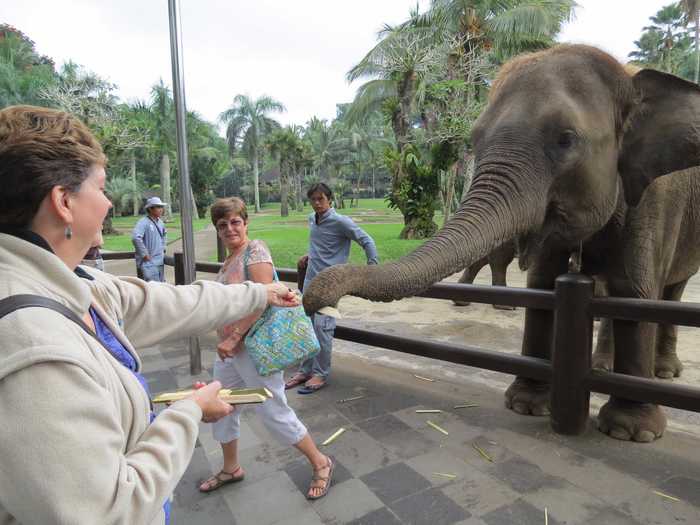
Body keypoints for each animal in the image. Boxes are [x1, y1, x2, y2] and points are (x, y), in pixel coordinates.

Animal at [304, 43, 700, 440]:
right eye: (475, 139)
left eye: (566, 139)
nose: (313, 302)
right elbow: (542, 286)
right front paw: (526, 405)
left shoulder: (655, 201)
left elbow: (636, 293)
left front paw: (630, 432)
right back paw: (602, 366)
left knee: (669, 293)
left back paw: (663, 372)